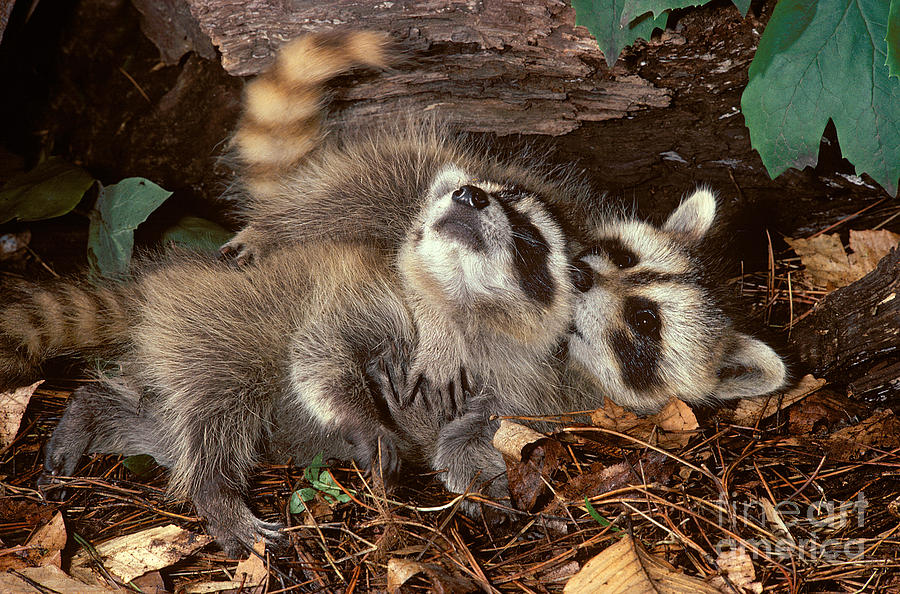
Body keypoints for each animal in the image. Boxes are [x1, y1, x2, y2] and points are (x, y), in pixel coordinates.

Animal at [16, 165, 573, 555]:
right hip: (217, 329)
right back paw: (216, 497)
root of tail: (161, 286)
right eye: (455, 191)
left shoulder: (518, 379)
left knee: (155, 428)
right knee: (214, 414)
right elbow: (320, 353)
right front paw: (364, 421)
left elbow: (485, 429)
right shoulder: (368, 295)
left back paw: (88, 412)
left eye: (526, 232)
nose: (470, 195)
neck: (456, 306)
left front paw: (483, 478)